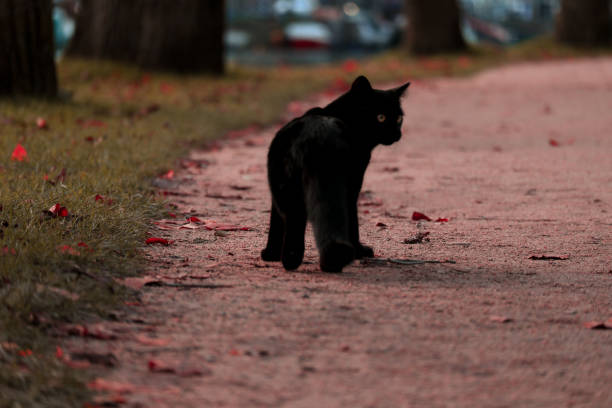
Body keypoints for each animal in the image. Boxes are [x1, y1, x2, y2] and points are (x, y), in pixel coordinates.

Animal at [260, 75, 408, 274]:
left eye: (399, 118)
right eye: (381, 117)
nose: (397, 134)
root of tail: (315, 135)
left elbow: (275, 222)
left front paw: (270, 254)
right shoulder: (354, 185)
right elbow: (353, 221)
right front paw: (360, 251)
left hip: (284, 186)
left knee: (292, 218)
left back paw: (291, 260)